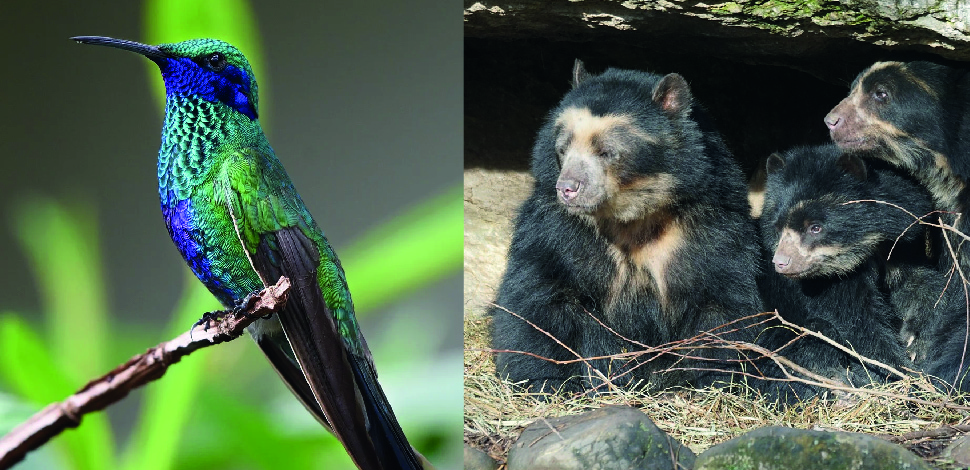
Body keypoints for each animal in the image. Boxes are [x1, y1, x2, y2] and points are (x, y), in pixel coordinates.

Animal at [492, 61, 764, 392]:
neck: (631, 215)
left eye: (607, 151)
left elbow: (720, 300)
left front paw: (713, 381)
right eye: (562, 148)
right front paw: (544, 381)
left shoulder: (711, 226)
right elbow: (539, 294)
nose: (567, 188)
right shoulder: (555, 229)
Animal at [756, 144, 932, 400]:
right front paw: (905, 376)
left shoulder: (901, 245)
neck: (866, 250)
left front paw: (915, 342)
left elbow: (920, 285)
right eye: (778, 228)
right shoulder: (827, 285)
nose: (780, 263)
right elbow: (859, 326)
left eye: (815, 227)